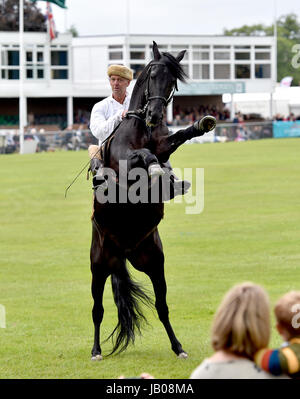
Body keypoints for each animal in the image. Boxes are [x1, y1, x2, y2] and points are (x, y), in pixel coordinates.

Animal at [89, 42, 216, 360]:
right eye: (153, 75)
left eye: (172, 81)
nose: (156, 116)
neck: (139, 128)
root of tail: (122, 252)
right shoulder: (126, 160)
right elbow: (143, 156)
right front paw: (154, 167)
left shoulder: (163, 145)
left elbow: (174, 140)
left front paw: (202, 123)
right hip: (99, 266)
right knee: (97, 309)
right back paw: (96, 350)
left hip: (154, 264)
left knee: (162, 307)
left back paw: (178, 347)